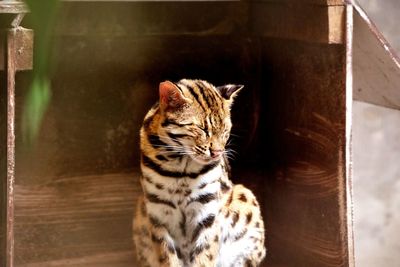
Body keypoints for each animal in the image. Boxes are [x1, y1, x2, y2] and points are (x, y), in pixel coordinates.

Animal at [133, 78, 268, 266]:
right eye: (202, 129)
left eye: (225, 130)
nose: (218, 152)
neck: (181, 167)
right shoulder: (159, 213)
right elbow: (167, 257)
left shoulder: (207, 211)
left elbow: (205, 255)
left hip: (245, 197)